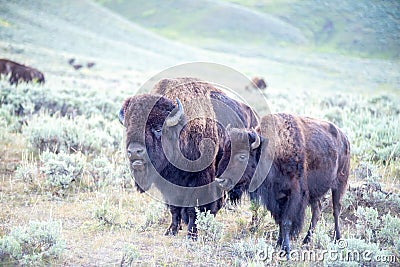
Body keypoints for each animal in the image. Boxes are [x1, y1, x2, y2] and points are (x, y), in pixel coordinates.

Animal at [118, 77, 260, 239]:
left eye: (158, 129)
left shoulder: (200, 179)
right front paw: (171, 230)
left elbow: (193, 208)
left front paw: (191, 234)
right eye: (128, 128)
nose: (134, 152)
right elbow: (174, 208)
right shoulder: (168, 184)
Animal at [216, 113, 350, 260]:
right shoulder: (276, 198)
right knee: (317, 210)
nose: (221, 180)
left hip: (339, 184)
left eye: (242, 156)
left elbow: (286, 222)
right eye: (225, 152)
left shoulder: (294, 195)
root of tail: (344, 138)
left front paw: (286, 250)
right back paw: (306, 240)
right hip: (314, 193)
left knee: (336, 210)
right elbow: (280, 220)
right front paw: (278, 244)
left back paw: (338, 238)